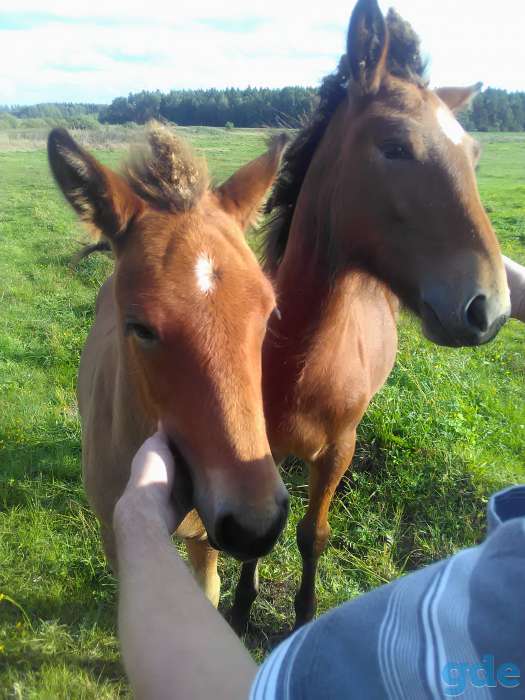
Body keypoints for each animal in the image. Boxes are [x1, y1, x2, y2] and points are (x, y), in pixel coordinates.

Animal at [228, 0, 511, 632]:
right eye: (395, 146)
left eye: (475, 155)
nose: (490, 307)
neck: (296, 360)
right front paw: (238, 607)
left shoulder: (338, 448)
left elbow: (312, 534)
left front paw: (304, 616)